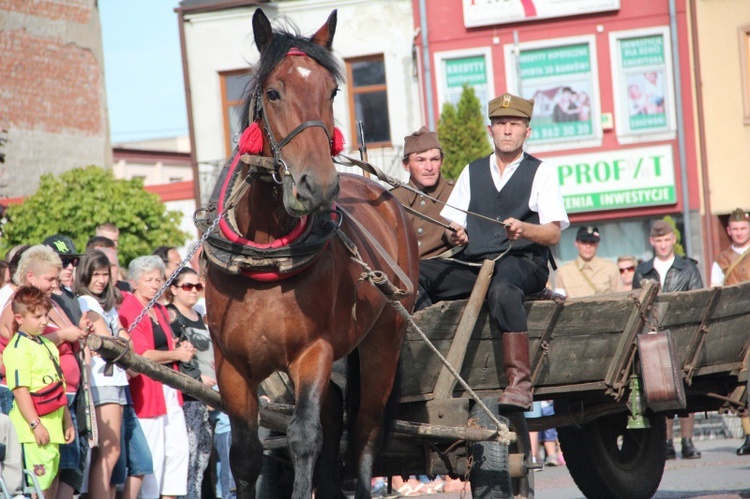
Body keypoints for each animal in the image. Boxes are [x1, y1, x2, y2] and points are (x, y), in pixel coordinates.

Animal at [203, 8, 420, 499]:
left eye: (332, 91)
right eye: (273, 92)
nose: (319, 186)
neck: (264, 251)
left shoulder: (313, 351)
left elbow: (304, 437)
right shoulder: (230, 364)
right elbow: (246, 454)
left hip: (385, 338)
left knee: (362, 432)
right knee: (336, 410)